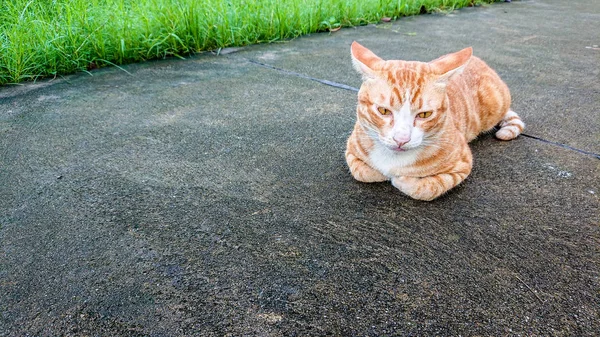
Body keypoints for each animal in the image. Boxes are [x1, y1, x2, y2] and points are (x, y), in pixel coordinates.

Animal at [344, 41, 524, 200]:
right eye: (384, 111)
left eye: (424, 114)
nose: (401, 140)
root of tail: (480, 61)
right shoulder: (351, 150)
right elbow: (363, 172)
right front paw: (380, 173)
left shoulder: (462, 164)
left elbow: (428, 188)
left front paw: (402, 180)